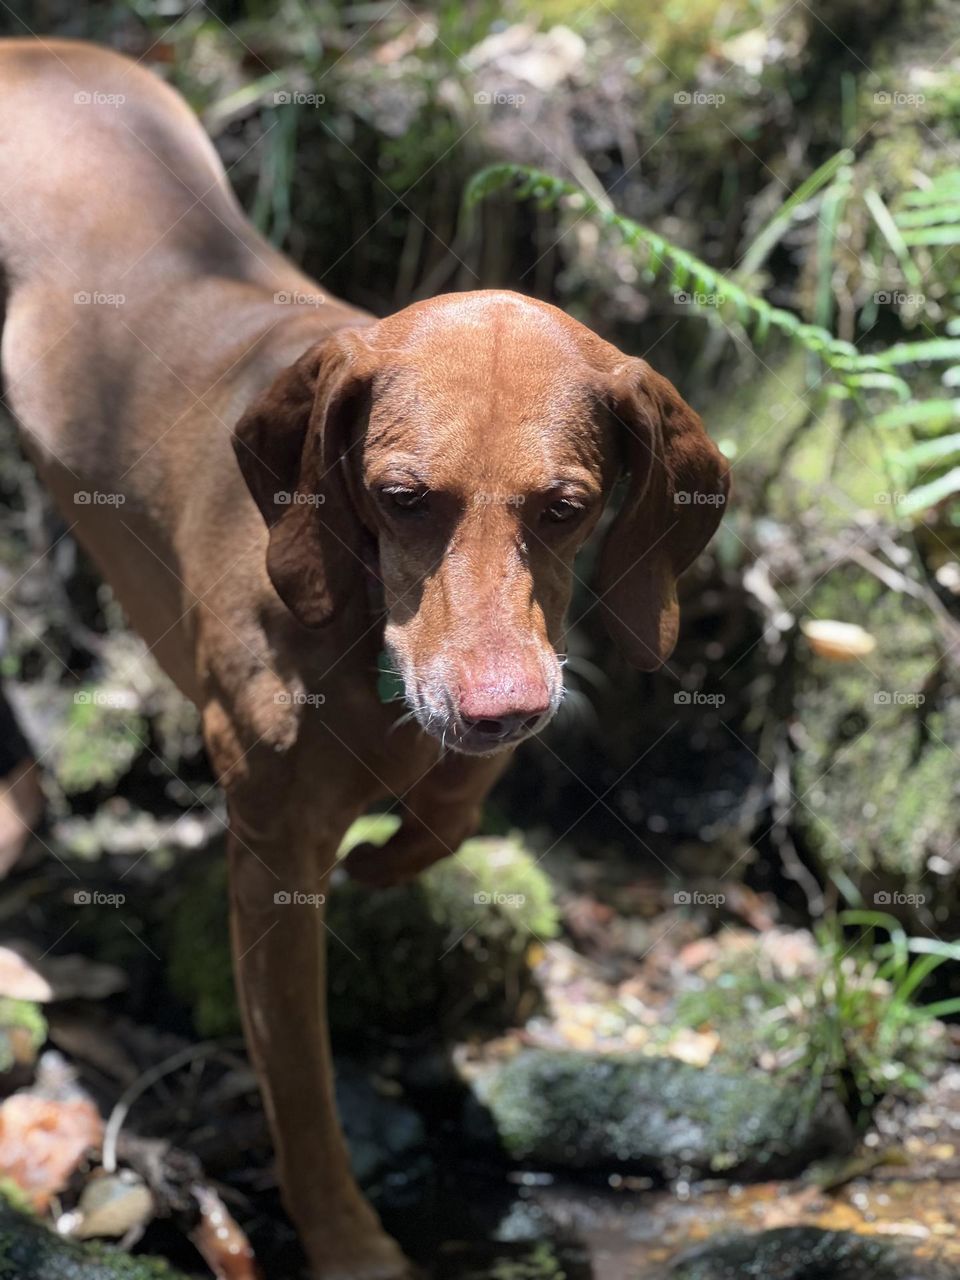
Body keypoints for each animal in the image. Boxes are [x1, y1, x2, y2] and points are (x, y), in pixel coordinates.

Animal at [0, 37, 727, 1280]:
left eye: (569, 507)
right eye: (401, 497)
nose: (500, 705)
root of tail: (35, 50)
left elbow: (451, 804)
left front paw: (400, 848)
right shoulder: (271, 862)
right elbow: (300, 1089)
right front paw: (348, 1241)